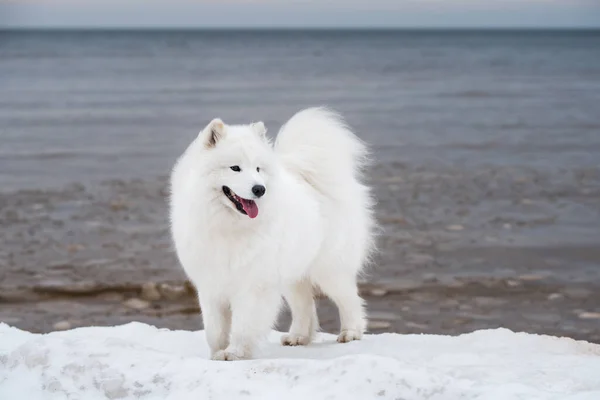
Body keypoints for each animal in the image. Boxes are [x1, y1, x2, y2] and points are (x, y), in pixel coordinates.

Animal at [169, 108, 376, 360]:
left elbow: (243, 325)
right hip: (293, 274)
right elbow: (215, 330)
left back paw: (351, 332)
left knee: (349, 300)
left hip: (329, 270)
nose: (260, 189)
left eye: (258, 169)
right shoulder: (211, 284)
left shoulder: (253, 285)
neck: (229, 226)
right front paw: (217, 354)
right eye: (235, 168)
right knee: (304, 305)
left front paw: (235, 353)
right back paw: (298, 337)